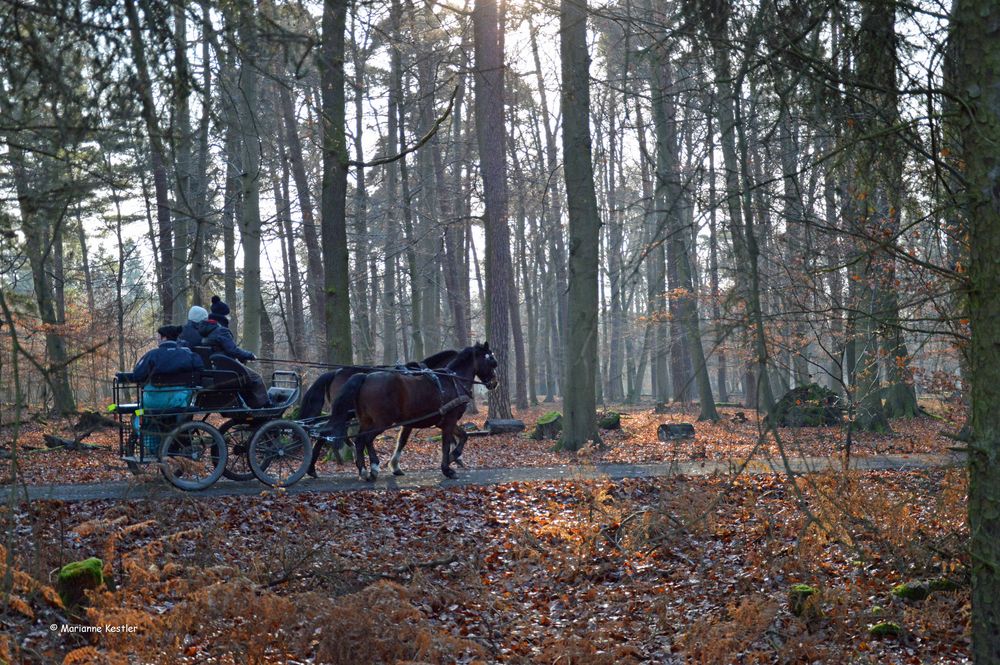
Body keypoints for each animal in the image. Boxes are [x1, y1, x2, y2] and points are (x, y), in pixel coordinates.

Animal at [326, 342, 498, 478]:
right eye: (491, 361)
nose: (495, 383)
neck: (453, 381)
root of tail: (365, 377)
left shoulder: (441, 422)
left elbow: (463, 436)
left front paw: (453, 458)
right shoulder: (448, 420)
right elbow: (446, 443)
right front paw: (447, 468)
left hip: (366, 420)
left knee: (360, 440)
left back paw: (363, 469)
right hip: (382, 422)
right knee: (366, 439)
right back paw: (372, 468)